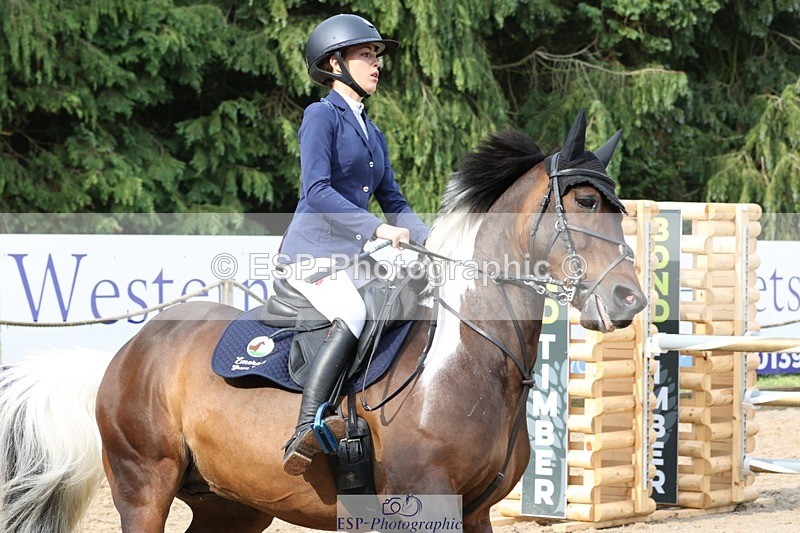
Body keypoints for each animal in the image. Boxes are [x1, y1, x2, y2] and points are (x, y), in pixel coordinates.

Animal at [0, 110, 646, 532]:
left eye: (618, 208)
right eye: (585, 202)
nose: (629, 301)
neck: (464, 360)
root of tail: (127, 351)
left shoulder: (477, 511)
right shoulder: (424, 503)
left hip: (229, 505)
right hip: (143, 486)